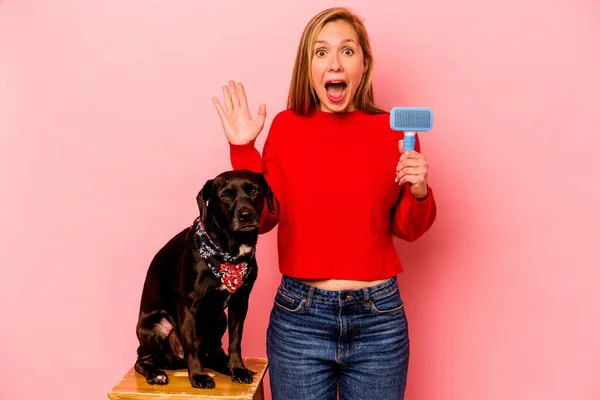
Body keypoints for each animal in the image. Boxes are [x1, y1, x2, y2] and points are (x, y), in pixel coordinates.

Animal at [133, 169, 274, 388]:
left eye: (254, 191)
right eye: (226, 195)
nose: (246, 215)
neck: (229, 255)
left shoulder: (240, 303)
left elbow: (235, 341)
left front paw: (238, 368)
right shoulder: (188, 305)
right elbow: (190, 346)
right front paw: (198, 375)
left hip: (220, 318)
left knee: (212, 352)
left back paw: (225, 365)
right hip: (156, 325)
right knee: (141, 361)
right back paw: (155, 373)